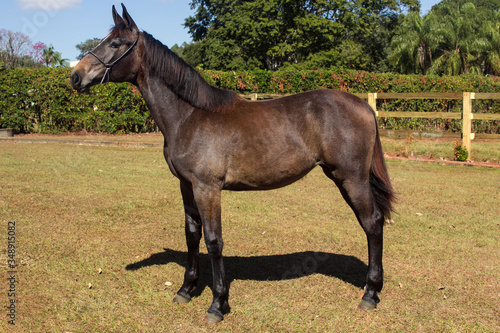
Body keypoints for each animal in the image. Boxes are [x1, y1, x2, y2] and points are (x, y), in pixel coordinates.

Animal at [71, 3, 394, 322]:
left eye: (115, 43)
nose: (75, 77)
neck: (189, 116)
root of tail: (364, 105)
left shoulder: (207, 189)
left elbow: (214, 241)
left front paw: (218, 303)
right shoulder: (186, 186)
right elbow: (192, 235)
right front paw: (186, 289)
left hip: (350, 178)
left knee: (373, 223)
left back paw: (370, 294)